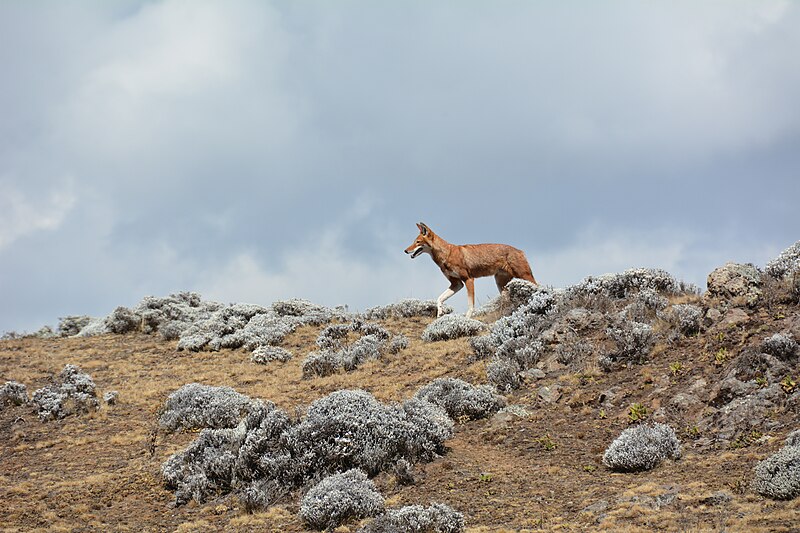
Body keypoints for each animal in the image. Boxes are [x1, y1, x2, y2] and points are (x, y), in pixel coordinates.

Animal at [406, 222, 536, 318]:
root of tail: (520, 251)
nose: (405, 250)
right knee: (507, 301)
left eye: (417, 242)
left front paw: (467, 318)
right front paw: (440, 313)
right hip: (500, 284)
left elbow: (470, 305)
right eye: (413, 241)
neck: (446, 255)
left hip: (524, 277)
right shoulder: (457, 284)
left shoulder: (469, 279)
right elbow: (439, 299)